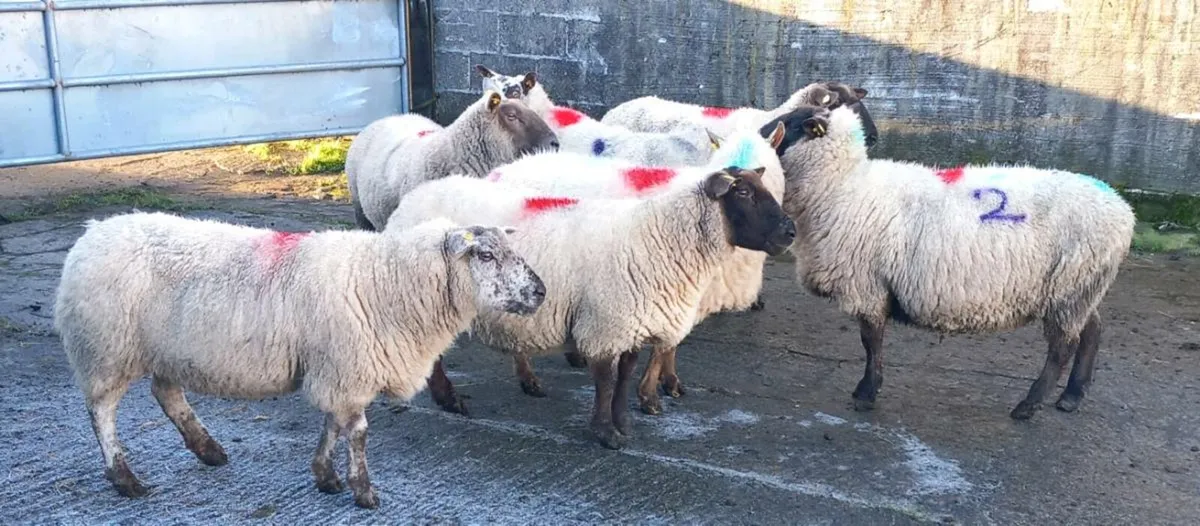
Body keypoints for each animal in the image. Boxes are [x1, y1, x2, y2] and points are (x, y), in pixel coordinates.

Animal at [53, 212, 546, 508]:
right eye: (486, 255)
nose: (541, 292)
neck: (387, 280)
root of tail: (92, 233)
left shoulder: (336, 369)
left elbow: (333, 425)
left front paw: (326, 476)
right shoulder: (345, 367)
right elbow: (358, 433)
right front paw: (363, 491)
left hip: (168, 349)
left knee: (166, 392)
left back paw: (208, 449)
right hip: (106, 349)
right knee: (102, 412)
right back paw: (125, 478)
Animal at [386, 167, 796, 449]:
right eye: (742, 192)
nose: (790, 232)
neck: (660, 237)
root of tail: (412, 198)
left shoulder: (632, 322)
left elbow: (626, 375)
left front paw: (623, 422)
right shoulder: (605, 323)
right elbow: (605, 379)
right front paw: (605, 432)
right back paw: (449, 399)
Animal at [487, 124, 791, 414]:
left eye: (766, 179)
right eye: (743, 192)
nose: (789, 232)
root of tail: (503, 170)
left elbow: (668, 344)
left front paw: (666, 382)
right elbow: (664, 345)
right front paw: (652, 393)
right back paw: (529, 379)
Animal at [772, 104, 1137, 420]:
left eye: (788, 123)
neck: (842, 187)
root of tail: (1122, 209)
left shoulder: (867, 284)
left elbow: (871, 341)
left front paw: (866, 393)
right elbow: (872, 341)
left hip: (1069, 286)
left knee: (1062, 348)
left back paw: (1028, 405)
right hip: (1081, 288)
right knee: (1092, 331)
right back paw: (1072, 396)